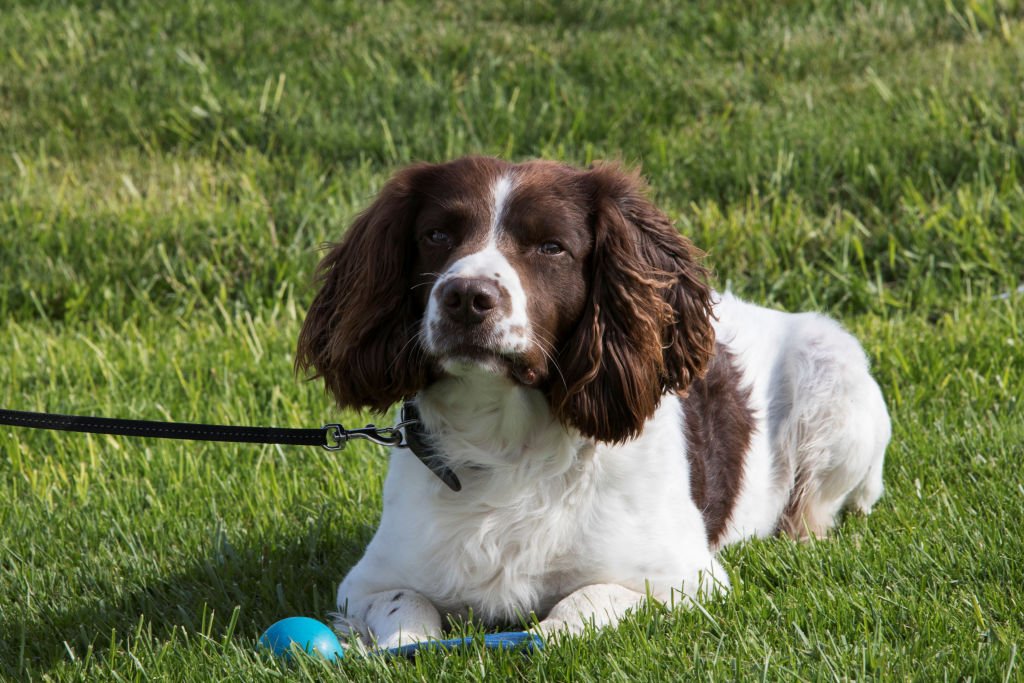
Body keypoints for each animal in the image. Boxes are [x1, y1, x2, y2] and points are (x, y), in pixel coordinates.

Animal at [294, 157, 888, 651]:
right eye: (437, 235)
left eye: (551, 246)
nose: (465, 297)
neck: (507, 444)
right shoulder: (368, 582)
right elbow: (407, 614)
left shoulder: (687, 578)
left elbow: (583, 602)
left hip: (833, 374)